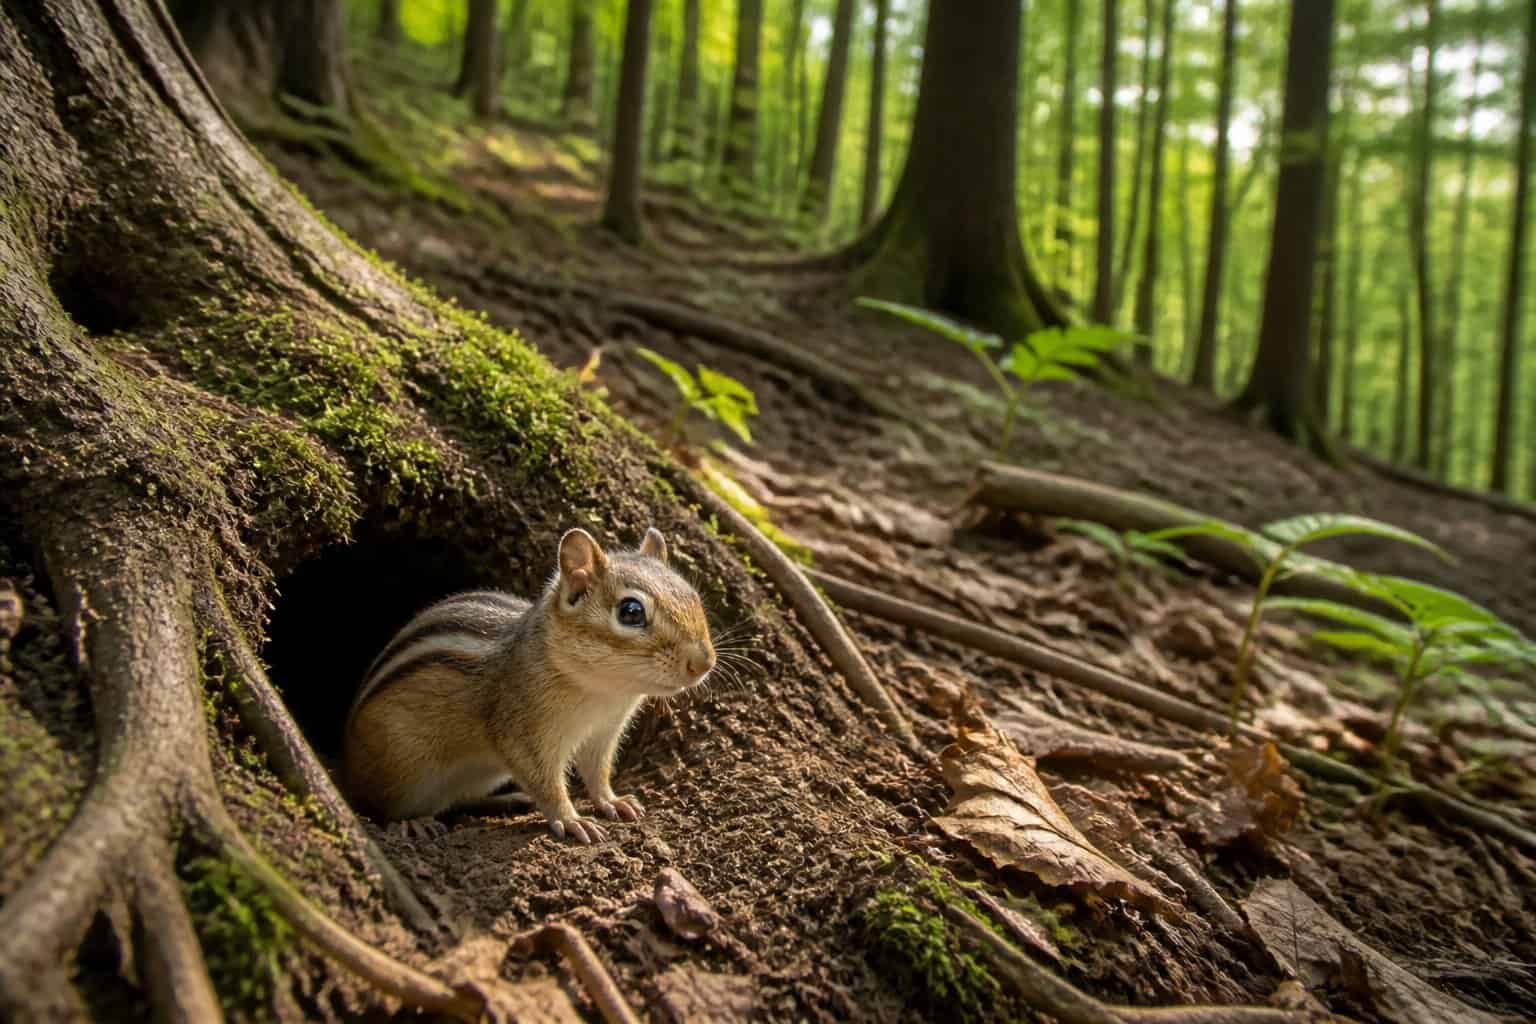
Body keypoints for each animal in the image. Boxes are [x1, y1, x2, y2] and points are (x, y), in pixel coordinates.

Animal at [341, 526, 715, 844]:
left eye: (694, 596)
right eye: (631, 611)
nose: (704, 663)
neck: (604, 692)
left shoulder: (603, 733)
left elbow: (597, 772)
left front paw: (612, 800)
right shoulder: (523, 732)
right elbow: (546, 782)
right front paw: (571, 819)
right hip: (401, 767)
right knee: (378, 805)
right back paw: (410, 822)